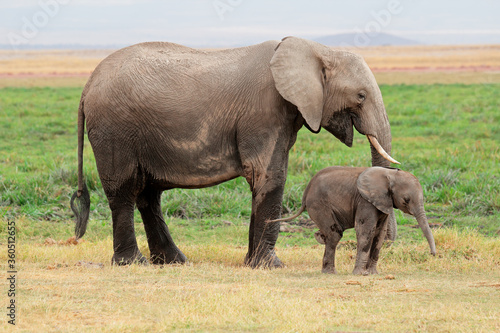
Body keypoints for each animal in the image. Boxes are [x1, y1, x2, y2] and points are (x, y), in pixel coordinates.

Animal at [69, 36, 398, 268]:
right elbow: (270, 175)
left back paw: (173, 261)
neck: (317, 49)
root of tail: (86, 87)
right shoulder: (263, 112)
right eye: (361, 96)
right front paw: (270, 266)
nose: (389, 242)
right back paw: (132, 263)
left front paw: (252, 264)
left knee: (149, 195)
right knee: (125, 190)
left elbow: (262, 178)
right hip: (114, 129)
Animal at [268, 166, 436, 274]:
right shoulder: (365, 201)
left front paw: (373, 274)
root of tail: (305, 193)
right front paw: (360, 274)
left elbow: (379, 233)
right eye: (406, 200)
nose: (433, 255)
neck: (390, 174)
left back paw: (320, 241)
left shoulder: (384, 202)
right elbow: (365, 231)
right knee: (334, 235)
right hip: (318, 204)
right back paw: (330, 272)